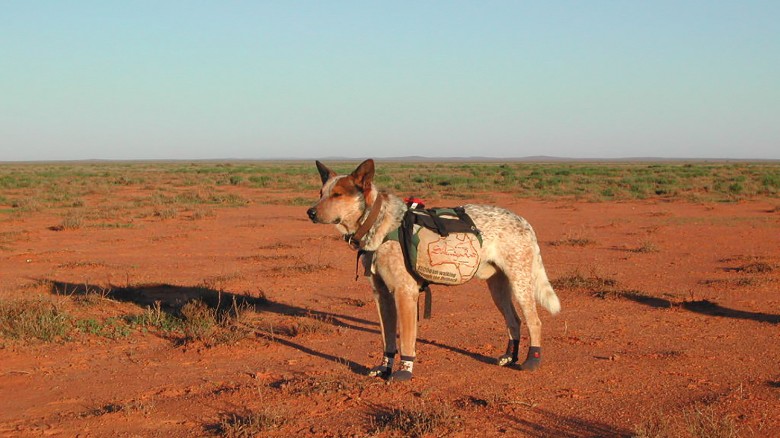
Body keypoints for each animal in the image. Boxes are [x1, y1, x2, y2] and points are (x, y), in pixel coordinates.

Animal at [306, 159, 560, 382]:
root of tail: (525, 222)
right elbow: (388, 340)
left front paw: (404, 370)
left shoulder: (405, 293)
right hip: (498, 288)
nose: (310, 212)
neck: (378, 223)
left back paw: (532, 359)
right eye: (321, 193)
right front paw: (384, 367)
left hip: (521, 283)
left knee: (535, 321)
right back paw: (510, 356)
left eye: (337, 194)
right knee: (514, 320)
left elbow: (406, 340)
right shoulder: (382, 296)